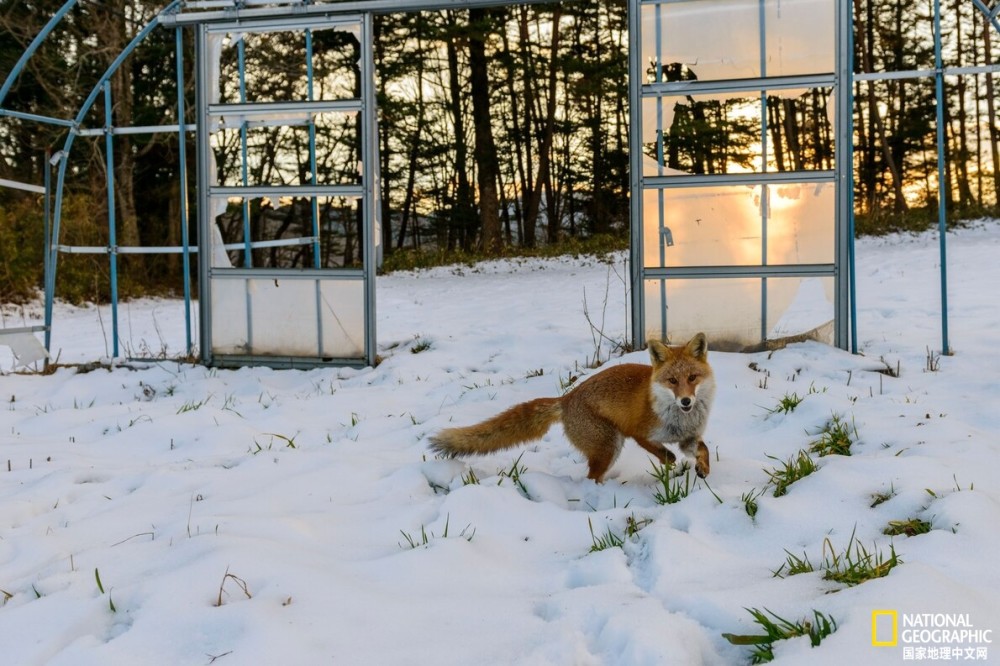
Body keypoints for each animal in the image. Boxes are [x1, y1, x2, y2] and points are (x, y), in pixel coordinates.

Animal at [426, 334, 716, 480]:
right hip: (609, 446)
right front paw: (672, 465)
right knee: (592, 477)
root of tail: (566, 399)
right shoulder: (638, 432)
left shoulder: (688, 438)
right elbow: (665, 454)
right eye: (672, 381)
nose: (686, 401)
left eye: (692, 378)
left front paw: (703, 469)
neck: (678, 420)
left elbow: (703, 449)